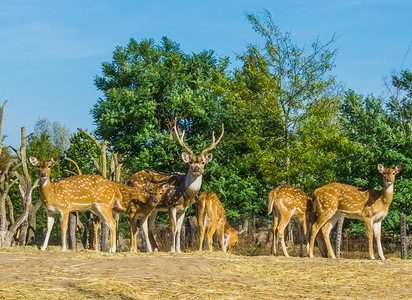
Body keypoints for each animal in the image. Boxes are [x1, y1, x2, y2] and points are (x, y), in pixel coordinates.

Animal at [129, 118, 225, 252]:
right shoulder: (171, 204)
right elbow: (173, 227)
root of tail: (129, 179)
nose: (196, 168)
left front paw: (179, 250)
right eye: (190, 162)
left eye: (203, 162)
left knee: (148, 227)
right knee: (139, 224)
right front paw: (172, 249)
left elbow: (179, 229)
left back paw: (154, 249)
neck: (186, 194)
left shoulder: (183, 209)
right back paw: (141, 249)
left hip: (154, 209)